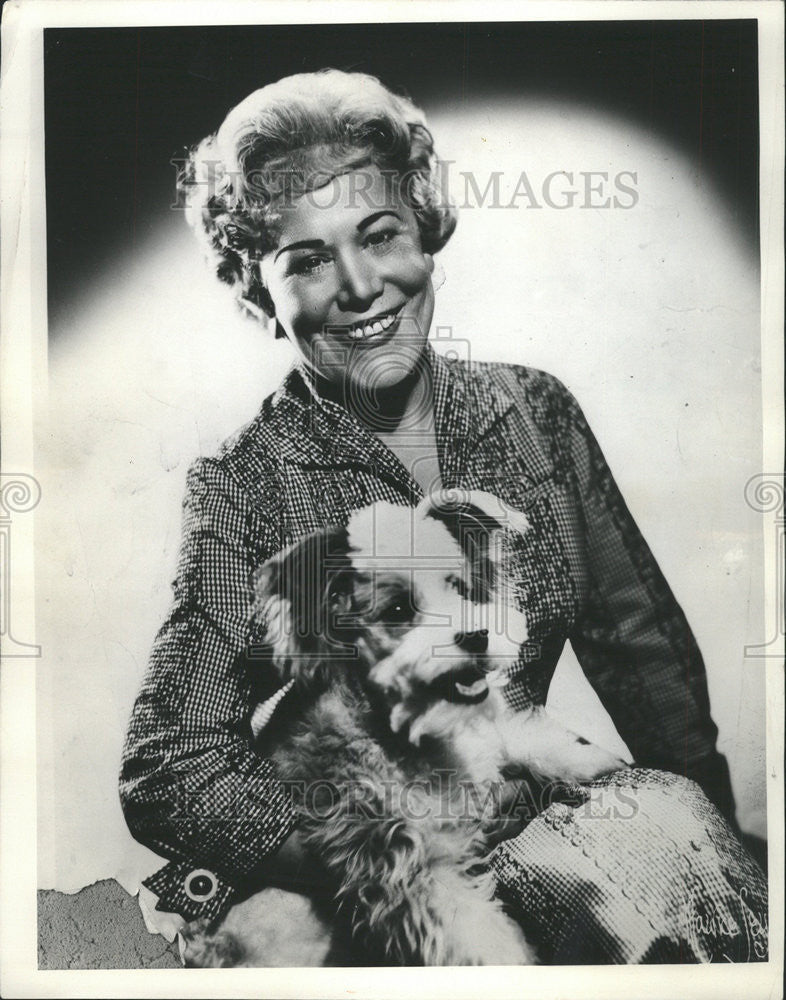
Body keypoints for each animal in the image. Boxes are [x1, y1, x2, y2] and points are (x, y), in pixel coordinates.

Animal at [179, 488, 624, 964]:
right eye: (396, 609)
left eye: (460, 588)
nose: (477, 636)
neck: (411, 735)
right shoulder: (407, 865)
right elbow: (477, 934)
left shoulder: (485, 740)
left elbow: (526, 738)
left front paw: (589, 759)